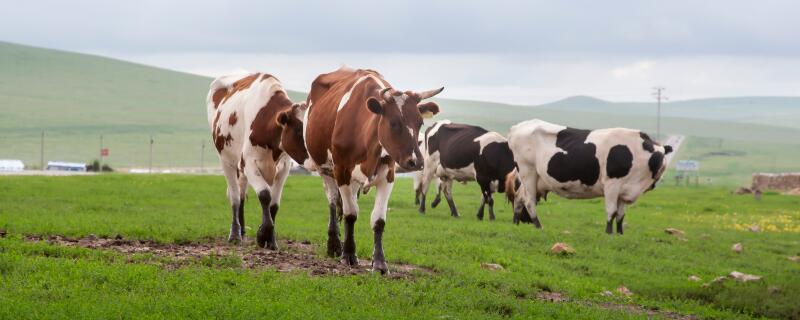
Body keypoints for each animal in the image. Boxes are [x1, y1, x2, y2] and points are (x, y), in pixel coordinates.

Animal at [205, 72, 308, 248]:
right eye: (298, 130)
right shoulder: (249, 164)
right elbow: (265, 195)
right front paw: (263, 235)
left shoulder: (284, 168)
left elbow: (274, 204)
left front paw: (271, 240)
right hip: (226, 161)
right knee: (234, 196)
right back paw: (235, 234)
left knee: (241, 194)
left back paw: (242, 231)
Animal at [304, 67, 444, 272]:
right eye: (394, 122)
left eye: (420, 123)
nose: (416, 162)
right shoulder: (342, 171)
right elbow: (350, 214)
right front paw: (348, 254)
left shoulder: (388, 175)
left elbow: (378, 220)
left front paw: (379, 262)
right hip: (323, 168)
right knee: (332, 201)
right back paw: (334, 245)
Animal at [510, 119, 672, 234]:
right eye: (658, 157)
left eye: (664, 156)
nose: (661, 167)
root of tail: (517, 127)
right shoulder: (612, 184)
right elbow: (612, 211)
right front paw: (609, 233)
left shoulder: (624, 190)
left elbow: (621, 215)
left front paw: (620, 234)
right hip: (528, 172)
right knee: (529, 201)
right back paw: (538, 226)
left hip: (532, 179)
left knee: (519, 197)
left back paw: (516, 223)